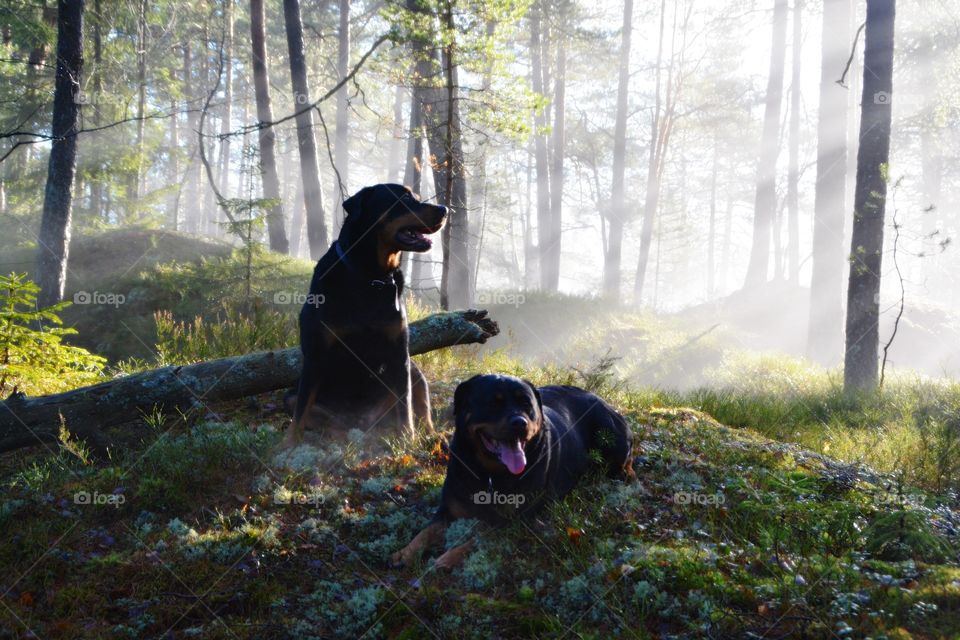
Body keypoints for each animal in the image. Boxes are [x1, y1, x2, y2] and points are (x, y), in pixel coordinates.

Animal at [284, 182, 448, 448]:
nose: (444, 209)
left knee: (421, 406)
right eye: (403, 198)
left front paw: (407, 438)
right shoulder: (315, 353)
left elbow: (405, 404)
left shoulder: (399, 353)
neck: (371, 277)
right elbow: (301, 408)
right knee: (315, 414)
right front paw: (288, 444)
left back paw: (432, 436)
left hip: (413, 370)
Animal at [394, 372, 632, 568]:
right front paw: (406, 552)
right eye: (493, 403)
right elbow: (427, 531)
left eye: (526, 404)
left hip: (610, 435)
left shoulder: (512, 521)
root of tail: (604, 401)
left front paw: (448, 557)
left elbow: (481, 533)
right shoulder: (447, 509)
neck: (490, 473)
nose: (520, 423)